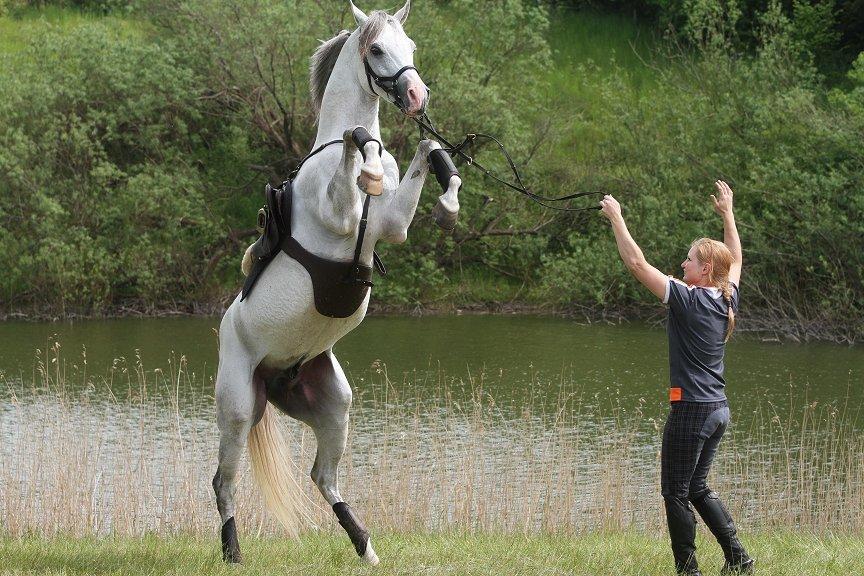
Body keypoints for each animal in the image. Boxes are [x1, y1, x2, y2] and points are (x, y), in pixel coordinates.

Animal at [212, 0, 462, 564]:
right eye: (377, 49)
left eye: (411, 47)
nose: (416, 96)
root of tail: (275, 375)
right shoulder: (341, 217)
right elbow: (356, 148)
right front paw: (366, 167)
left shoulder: (392, 225)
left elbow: (424, 151)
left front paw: (446, 196)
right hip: (237, 407)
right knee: (224, 482)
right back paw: (234, 552)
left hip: (333, 405)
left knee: (322, 477)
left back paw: (366, 547)